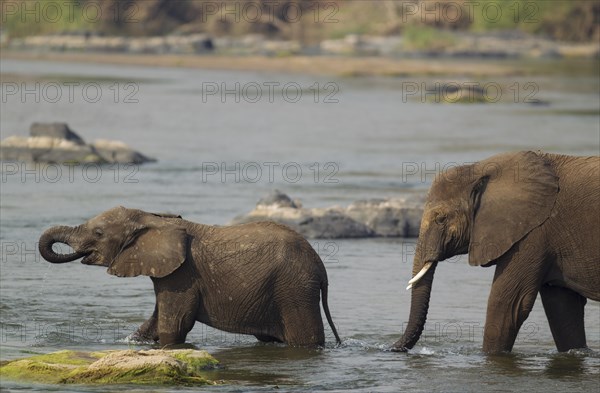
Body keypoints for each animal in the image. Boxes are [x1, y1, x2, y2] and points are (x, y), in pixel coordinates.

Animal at [38, 205, 342, 346]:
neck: (153, 218)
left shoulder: (182, 274)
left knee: (306, 340)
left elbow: (174, 324)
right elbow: (155, 321)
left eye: (99, 233)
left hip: (294, 289)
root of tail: (321, 267)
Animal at [394, 150, 600, 352]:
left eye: (441, 219)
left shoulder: (532, 235)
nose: (392, 348)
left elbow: (507, 305)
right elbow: (563, 309)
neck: (480, 168)